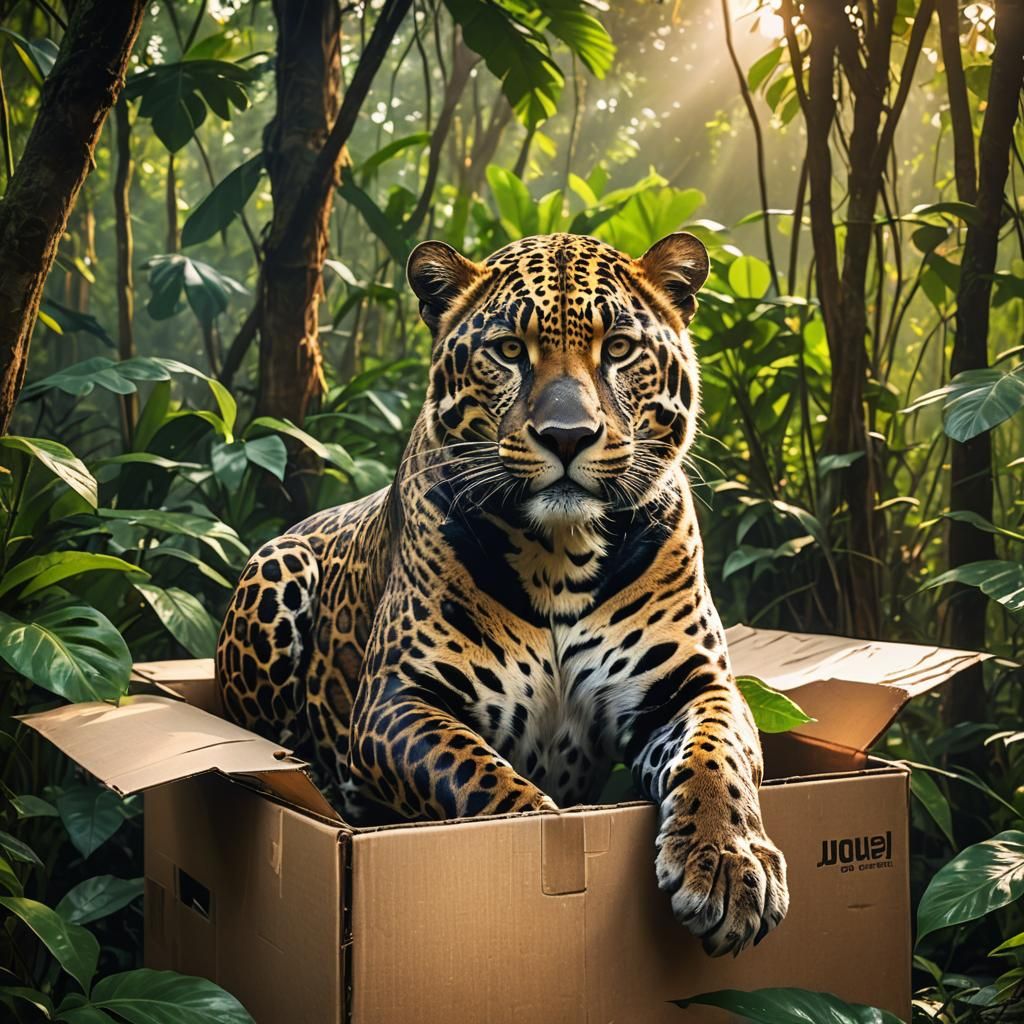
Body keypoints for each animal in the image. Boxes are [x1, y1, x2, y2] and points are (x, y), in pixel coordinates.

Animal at [216, 231, 789, 957]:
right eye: (510, 350)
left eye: (618, 348)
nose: (568, 436)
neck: (562, 552)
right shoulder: (396, 700)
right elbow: (487, 786)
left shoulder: (693, 685)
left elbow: (719, 758)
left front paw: (729, 864)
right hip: (277, 565)